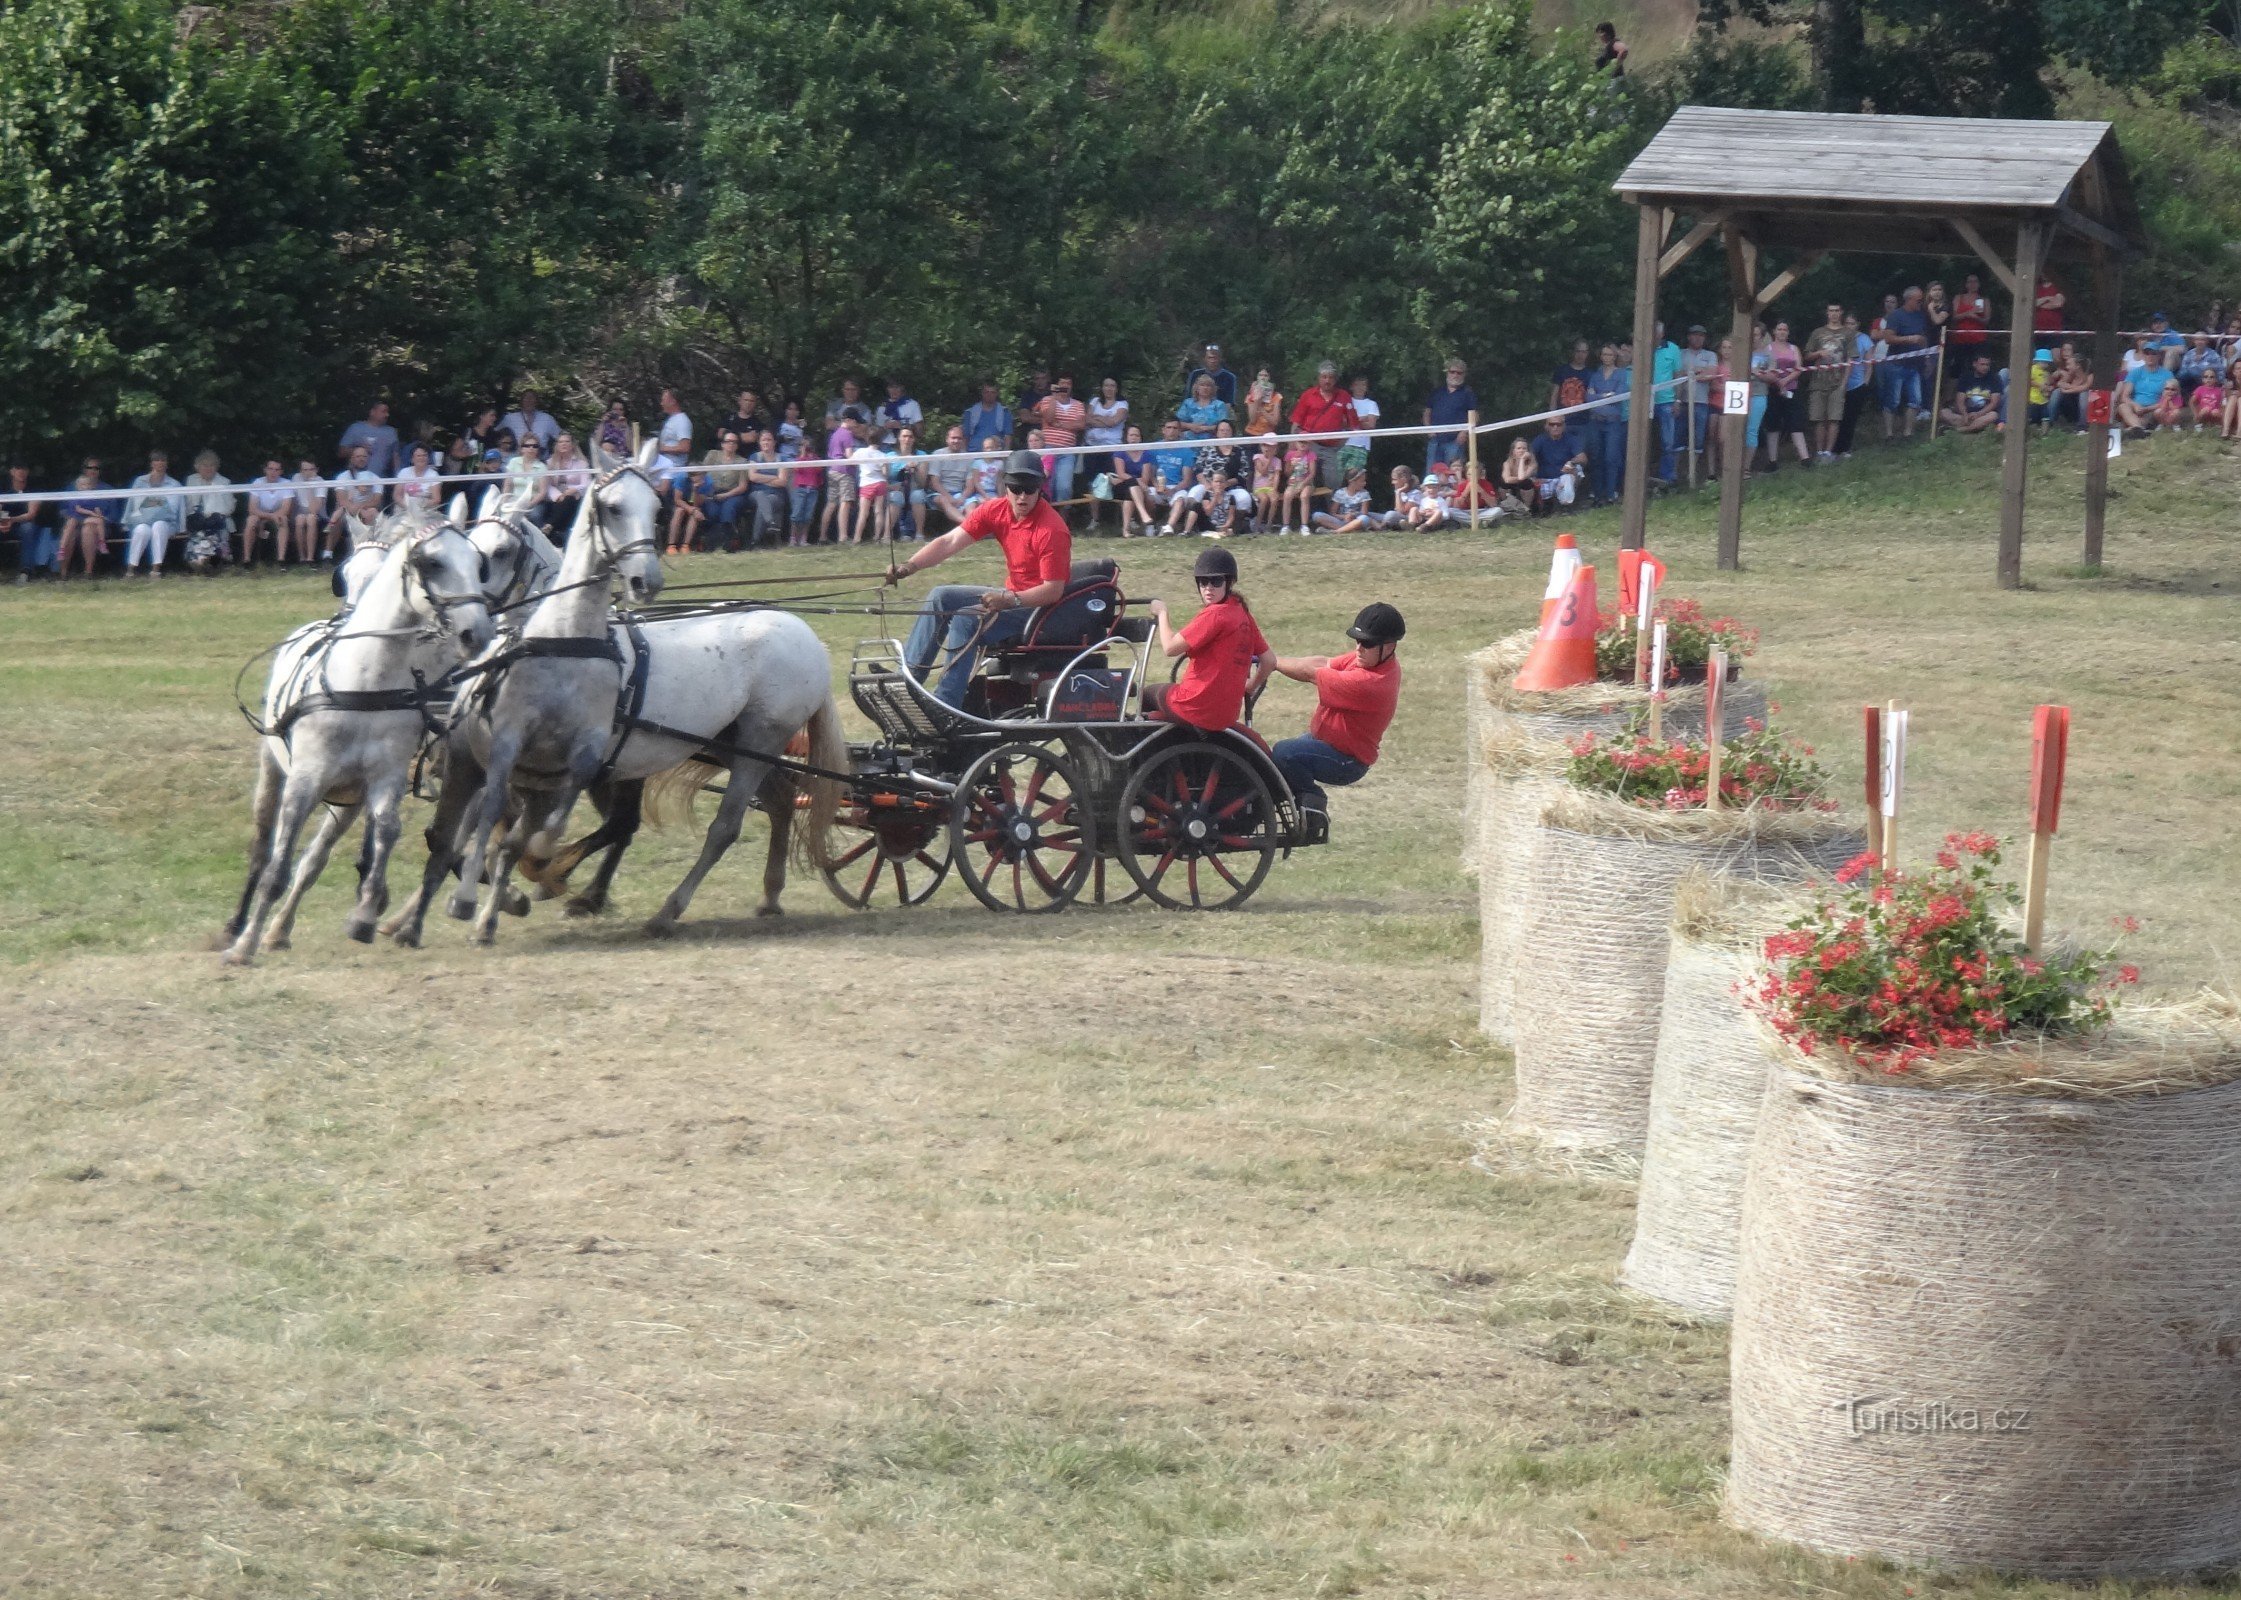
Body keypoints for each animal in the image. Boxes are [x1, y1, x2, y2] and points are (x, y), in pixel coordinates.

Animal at [220, 510, 493, 959]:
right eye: (432, 563)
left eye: (478, 562)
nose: (478, 633)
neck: (366, 683)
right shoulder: (305, 781)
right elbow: (279, 866)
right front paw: (244, 947)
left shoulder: (384, 778)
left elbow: (385, 830)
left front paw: (366, 911)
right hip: (275, 768)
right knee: (264, 844)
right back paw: (240, 926)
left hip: (349, 797)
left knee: (317, 857)